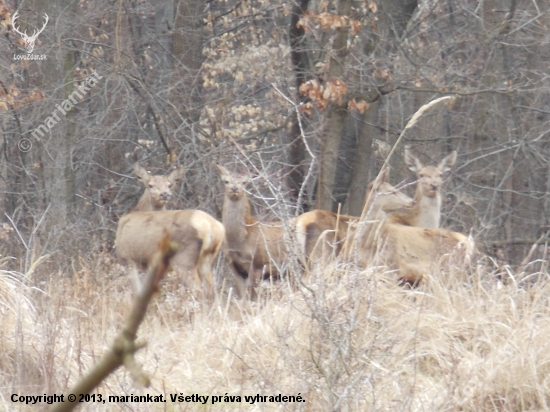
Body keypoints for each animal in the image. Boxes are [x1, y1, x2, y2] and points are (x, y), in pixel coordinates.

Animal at [116, 163, 226, 294]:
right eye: (150, 185)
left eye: (169, 185)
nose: (165, 194)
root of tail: (210, 226)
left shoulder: (128, 258)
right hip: (207, 260)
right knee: (211, 290)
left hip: (184, 260)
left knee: (197, 289)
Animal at [216, 164, 286, 300]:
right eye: (226, 181)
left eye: (244, 182)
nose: (234, 188)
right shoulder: (233, 265)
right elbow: (243, 297)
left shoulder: (258, 264)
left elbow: (252, 297)